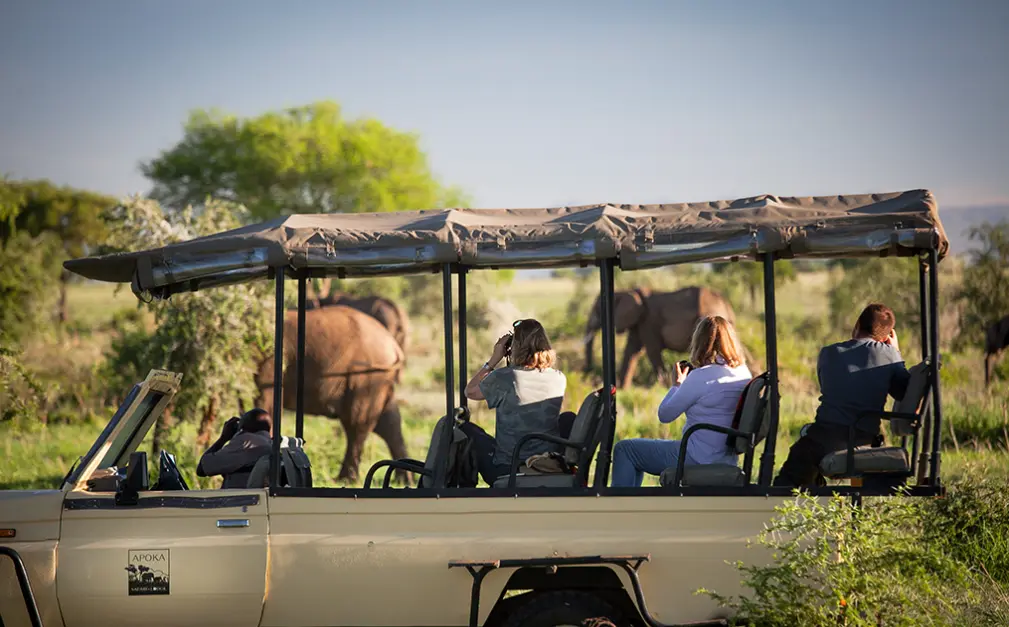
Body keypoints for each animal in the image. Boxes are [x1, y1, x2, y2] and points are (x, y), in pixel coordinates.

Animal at [254, 304, 407, 482]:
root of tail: (394, 346)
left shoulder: (268, 360)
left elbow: (264, 403)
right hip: (378, 377)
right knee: (389, 422)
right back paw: (403, 480)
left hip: (366, 374)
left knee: (356, 423)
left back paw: (345, 480)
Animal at [585, 286, 750, 385]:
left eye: (598, 310)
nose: (589, 374)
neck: (628, 290)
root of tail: (727, 305)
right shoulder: (640, 322)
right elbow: (631, 351)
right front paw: (622, 388)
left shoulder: (648, 321)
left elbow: (651, 351)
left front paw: (663, 385)